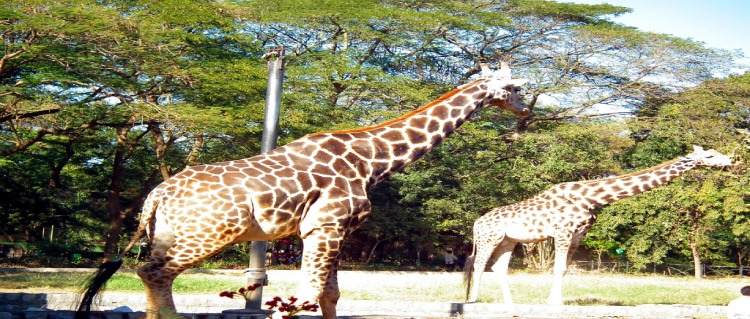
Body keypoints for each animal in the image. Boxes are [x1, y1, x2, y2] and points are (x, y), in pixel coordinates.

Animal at [76, 62, 536, 319]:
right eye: (515, 89)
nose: (527, 112)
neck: (371, 161)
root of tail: (156, 196)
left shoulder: (329, 231)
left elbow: (329, 295)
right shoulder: (325, 227)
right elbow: (306, 295)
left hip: (168, 234)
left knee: (150, 275)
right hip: (208, 234)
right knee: (156, 273)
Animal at [464, 146, 736, 306]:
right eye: (710, 156)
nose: (731, 160)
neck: (592, 198)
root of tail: (476, 223)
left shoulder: (577, 235)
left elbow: (564, 269)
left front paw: (555, 301)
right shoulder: (562, 232)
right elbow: (557, 267)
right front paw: (554, 303)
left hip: (508, 240)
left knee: (499, 267)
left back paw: (510, 304)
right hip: (489, 238)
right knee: (479, 265)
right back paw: (473, 300)